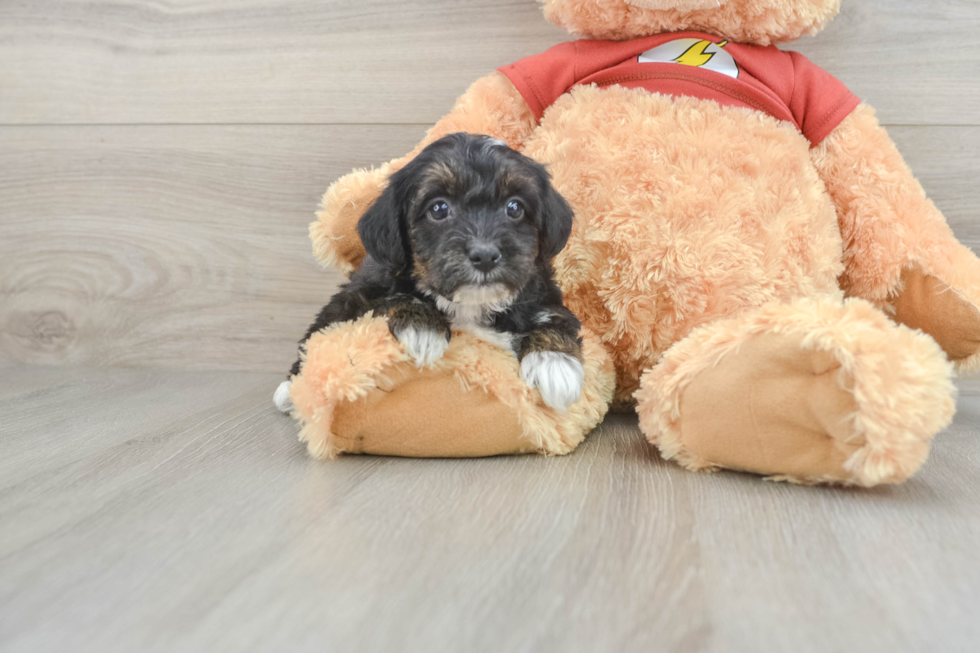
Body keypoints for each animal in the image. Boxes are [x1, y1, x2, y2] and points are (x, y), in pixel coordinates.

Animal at [272, 132, 584, 412]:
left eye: (515, 207)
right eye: (439, 208)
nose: (485, 255)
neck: (471, 304)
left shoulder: (543, 294)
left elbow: (556, 317)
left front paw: (555, 364)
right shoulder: (368, 292)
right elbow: (394, 298)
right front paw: (422, 326)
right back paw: (290, 390)